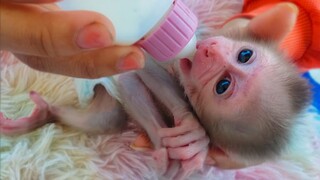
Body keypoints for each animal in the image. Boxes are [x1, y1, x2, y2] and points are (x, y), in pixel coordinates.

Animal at [0, 2, 312, 179]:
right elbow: (144, 65)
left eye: (222, 86)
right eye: (245, 55)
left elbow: (134, 76)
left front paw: (182, 139)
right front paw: (190, 129)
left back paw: (43, 114)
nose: (208, 50)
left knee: (106, 117)